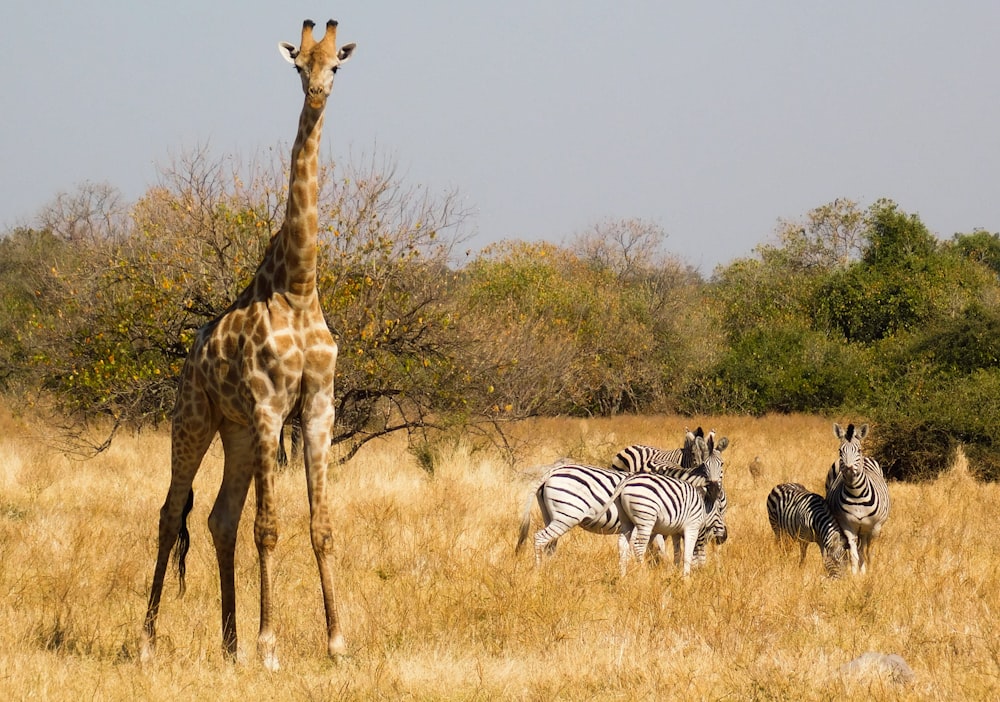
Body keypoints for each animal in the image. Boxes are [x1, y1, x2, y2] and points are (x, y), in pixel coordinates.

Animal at [139, 19, 358, 672]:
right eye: (298, 66)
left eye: (335, 64)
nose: (317, 93)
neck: (301, 285)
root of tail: (189, 359)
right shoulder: (268, 407)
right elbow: (270, 526)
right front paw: (270, 647)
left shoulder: (317, 408)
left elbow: (320, 526)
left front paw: (337, 643)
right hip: (193, 419)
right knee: (171, 514)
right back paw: (148, 643)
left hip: (233, 432)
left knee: (218, 518)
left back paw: (229, 644)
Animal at [820, 424, 892, 576]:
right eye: (840, 450)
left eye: (858, 450)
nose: (848, 469)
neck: (856, 494)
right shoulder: (848, 526)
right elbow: (854, 554)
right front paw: (855, 575)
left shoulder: (875, 527)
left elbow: (869, 553)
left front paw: (870, 573)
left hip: (865, 528)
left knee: (863, 548)